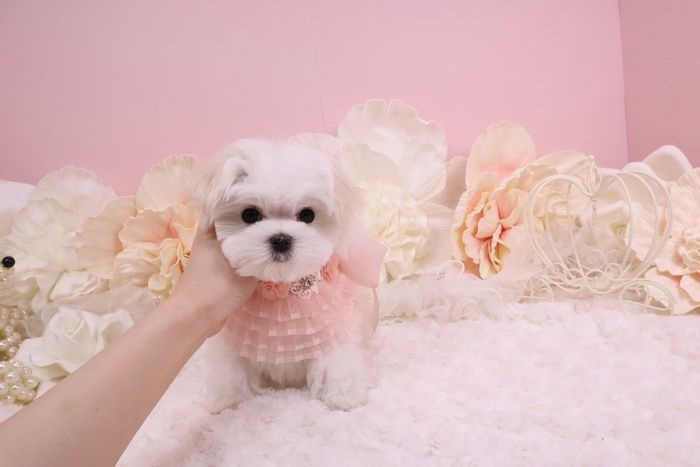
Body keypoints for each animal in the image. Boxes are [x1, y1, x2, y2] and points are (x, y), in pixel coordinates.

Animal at [192, 139, 385, 412]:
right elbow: (229, 366)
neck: (282, 286)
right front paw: (225, 398)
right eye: (249, 215)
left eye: (307, 215)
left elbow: (336, 358)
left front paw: (344, 393)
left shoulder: (333, 325)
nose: (281, 239)